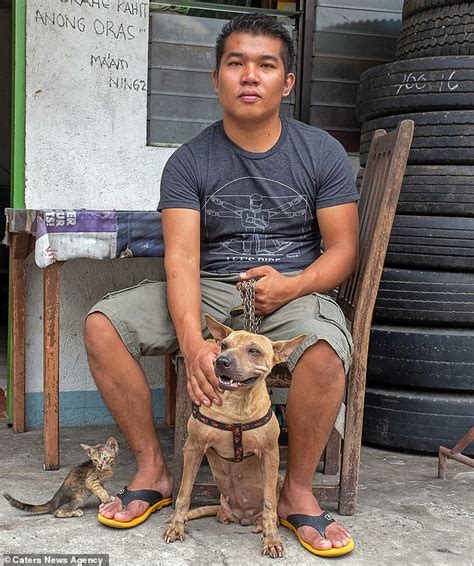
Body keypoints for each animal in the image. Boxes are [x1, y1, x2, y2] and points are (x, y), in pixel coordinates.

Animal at [165, 318, 306, 560]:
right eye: (224, 345)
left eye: (254, 351)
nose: (222, 361)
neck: (237, 406)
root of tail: (241, 516)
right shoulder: (193, 448)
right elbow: (184, 493)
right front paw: (176, 526)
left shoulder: (270, 453)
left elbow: (270, 504)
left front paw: (272, 539)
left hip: (277, 478)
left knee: (271, 509)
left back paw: (262, 526)